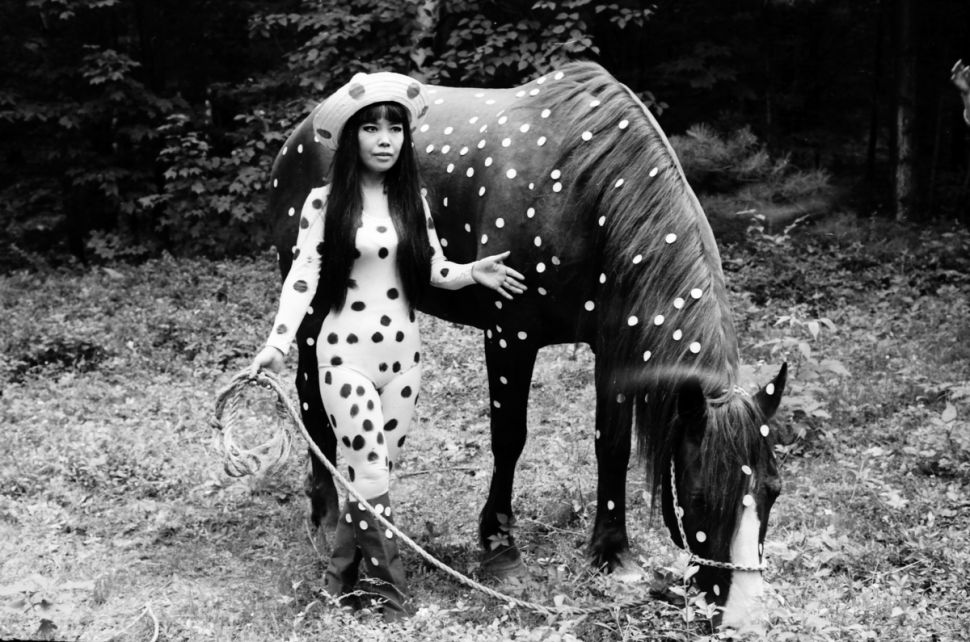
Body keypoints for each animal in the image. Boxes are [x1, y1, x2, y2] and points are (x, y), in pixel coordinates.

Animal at [264, 61, 788, 624]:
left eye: (774, 491)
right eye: (701, 494)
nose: (745, 617)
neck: (588, 193)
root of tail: (299, 134)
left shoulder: (614, 351)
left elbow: (612, 445)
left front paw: (611, 553)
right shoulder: (509, 334)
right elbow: (509, 437)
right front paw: (499, 547)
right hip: (312, 310)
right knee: (311, 400)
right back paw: (324, 515)